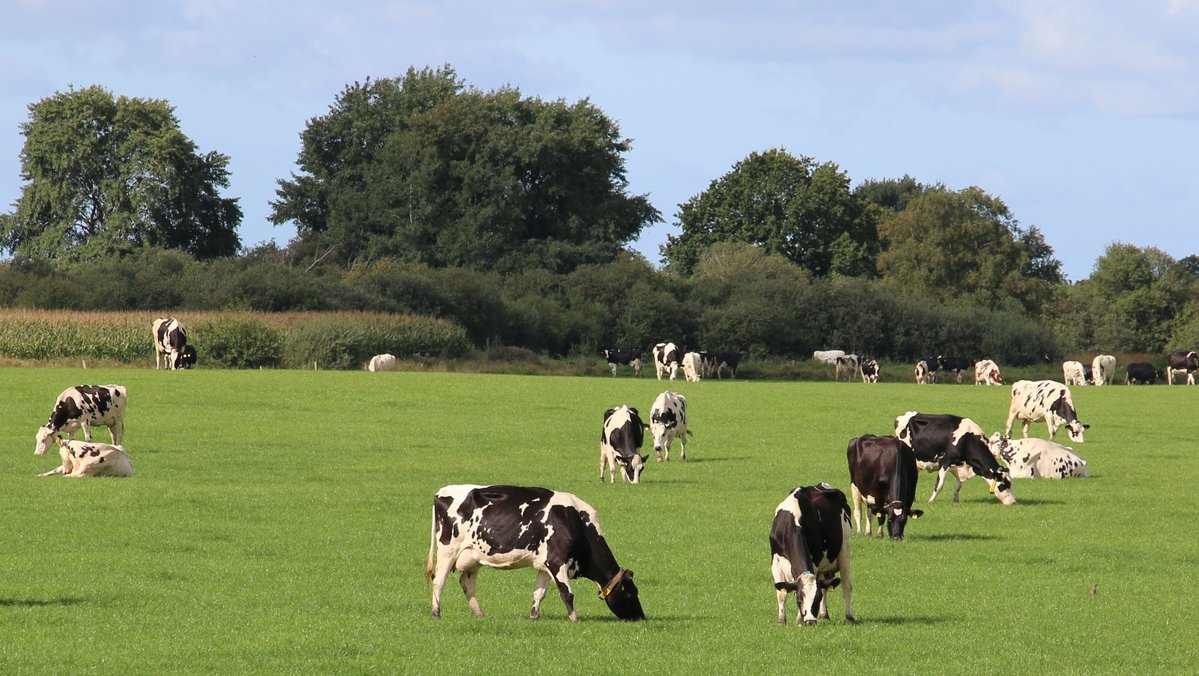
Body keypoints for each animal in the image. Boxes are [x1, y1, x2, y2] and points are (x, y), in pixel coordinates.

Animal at [426, 484, 645, 622]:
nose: (641, 617)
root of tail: (441, 493)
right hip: (448, 551)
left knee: (467, 584)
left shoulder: (545, 564)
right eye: (632, 593)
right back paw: (436, 614)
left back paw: (480, 614)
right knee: (438, 582)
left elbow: (539, 592)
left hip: (472, 557)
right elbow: (567, 593)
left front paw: (534, 615)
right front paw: (574, 617)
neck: (576, 522)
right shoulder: (557, 561)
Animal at [769, 484, 854, 626]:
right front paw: (781, 621)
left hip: (845, 548)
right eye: (799, 598)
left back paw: (849, 616)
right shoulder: (775, 561)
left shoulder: (815, 559)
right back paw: (824, 615)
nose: (810, 621)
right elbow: (781, 594)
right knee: (825, 586)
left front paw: (799, 619)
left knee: (846, 585)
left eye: (817, 599)